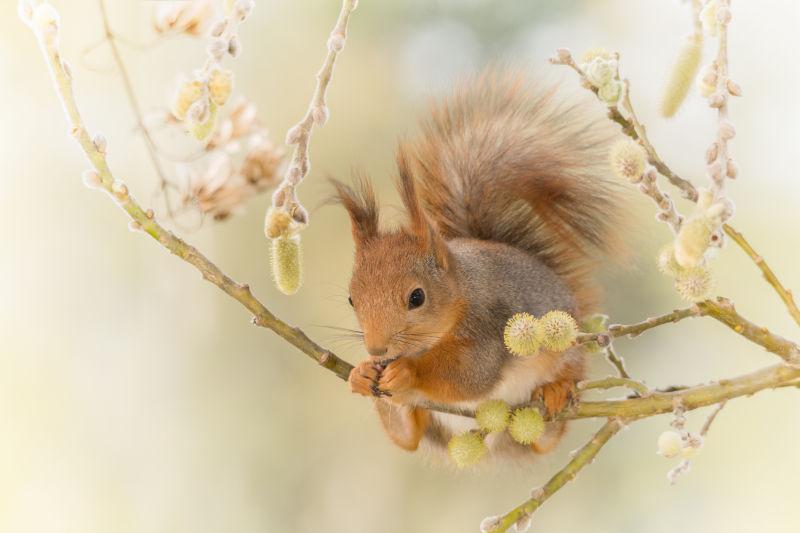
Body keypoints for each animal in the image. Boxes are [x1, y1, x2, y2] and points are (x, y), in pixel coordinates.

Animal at [332, 71, 624, 462]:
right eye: (352, 299)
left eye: (417, 297)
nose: (378, 350)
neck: (460, 292)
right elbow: (407, 433)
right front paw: (362, 373)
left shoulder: (487, 327)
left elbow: (470, 374)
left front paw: (407, 372)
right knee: (408, 433)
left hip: (565, 358)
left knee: (548, 434)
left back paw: (557, 391)